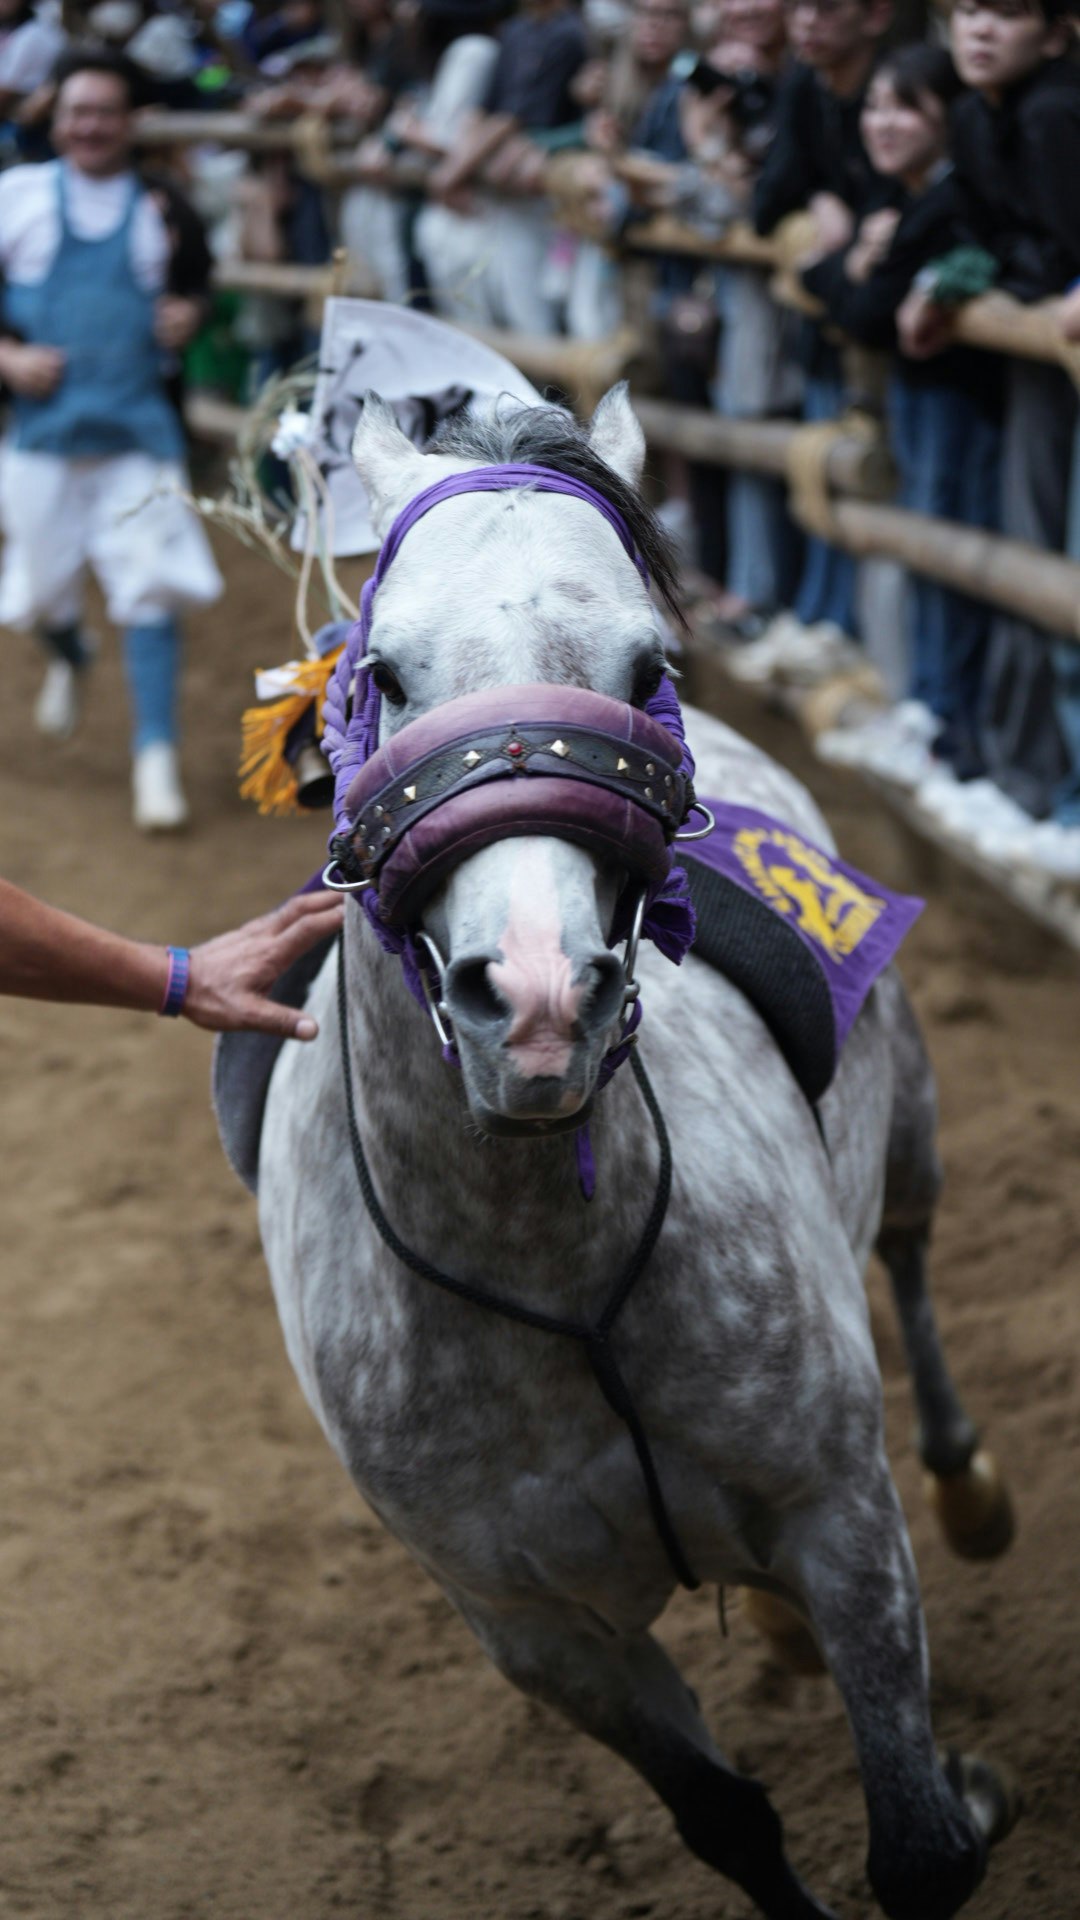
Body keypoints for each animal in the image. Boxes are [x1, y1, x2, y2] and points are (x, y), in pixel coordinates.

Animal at [236, 384, 1016, 1920]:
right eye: (385, 673)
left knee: (908, 1247)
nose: (538, 998)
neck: (548, 1277)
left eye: (645, 659)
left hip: (910, 1123)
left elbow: (919, 1844)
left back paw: (970, 1488)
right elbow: (727, 1822)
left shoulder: (840, 1511)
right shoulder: (537, 1631)